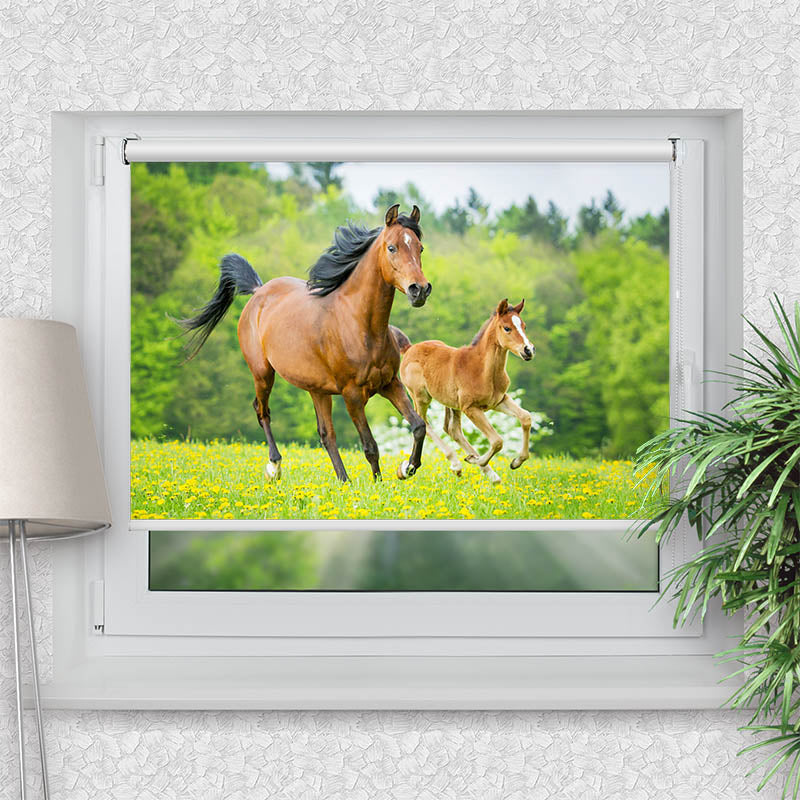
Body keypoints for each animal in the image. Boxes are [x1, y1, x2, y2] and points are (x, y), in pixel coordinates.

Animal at [178, 204, 432, 483]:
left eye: (419, 247)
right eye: (392, 247)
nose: (419, 289)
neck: (360, 325)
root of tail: (257, 291)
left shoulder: (389, 384)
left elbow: (419, 426)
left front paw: (406, 468)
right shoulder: (352, 394)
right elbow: (370, 446)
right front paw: (378, 484)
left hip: (317, 390)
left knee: (326, 434)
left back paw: (343, 481)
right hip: (263, 373)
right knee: (262, 411)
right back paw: (275, 467)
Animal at [398, 299, 534, 484]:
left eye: (524, 326)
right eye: (507, 328)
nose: (528, 350)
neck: (482, 369)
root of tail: (409, 348)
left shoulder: (499, 401)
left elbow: (526, 418)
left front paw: (516, 462)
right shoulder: (470, 408)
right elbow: (497, 441)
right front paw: (477, 460)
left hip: (451, 403)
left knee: (451, 429)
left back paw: (489, 473)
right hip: (421, 397)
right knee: (424, 423)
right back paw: (457, 463)